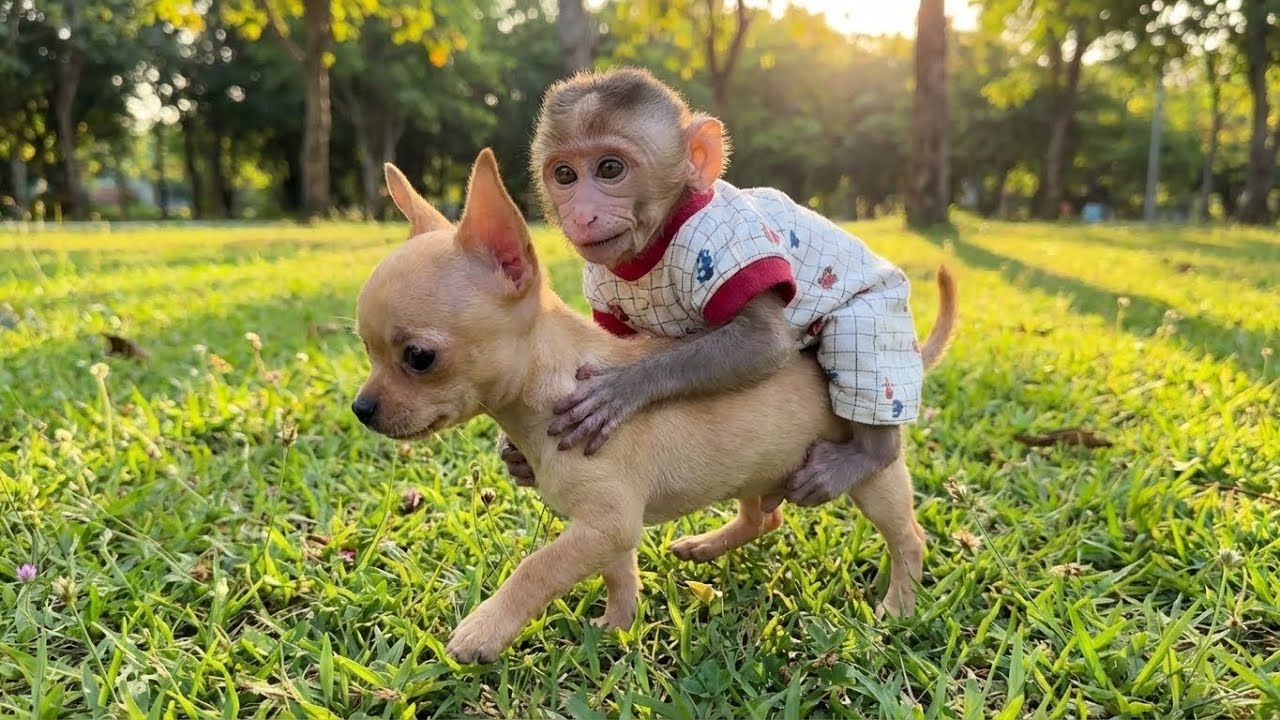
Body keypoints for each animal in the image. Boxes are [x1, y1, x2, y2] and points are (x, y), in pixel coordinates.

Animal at [501, 67, 934, 513]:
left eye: (609, 168)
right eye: (564, 175)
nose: (582, 215)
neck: (656, 240)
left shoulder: (722, 239)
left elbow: (764, 341)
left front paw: (623, 387)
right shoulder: (600, 281)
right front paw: (516, 456)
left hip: (882, 311)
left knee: (861, 348)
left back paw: (870, 453)